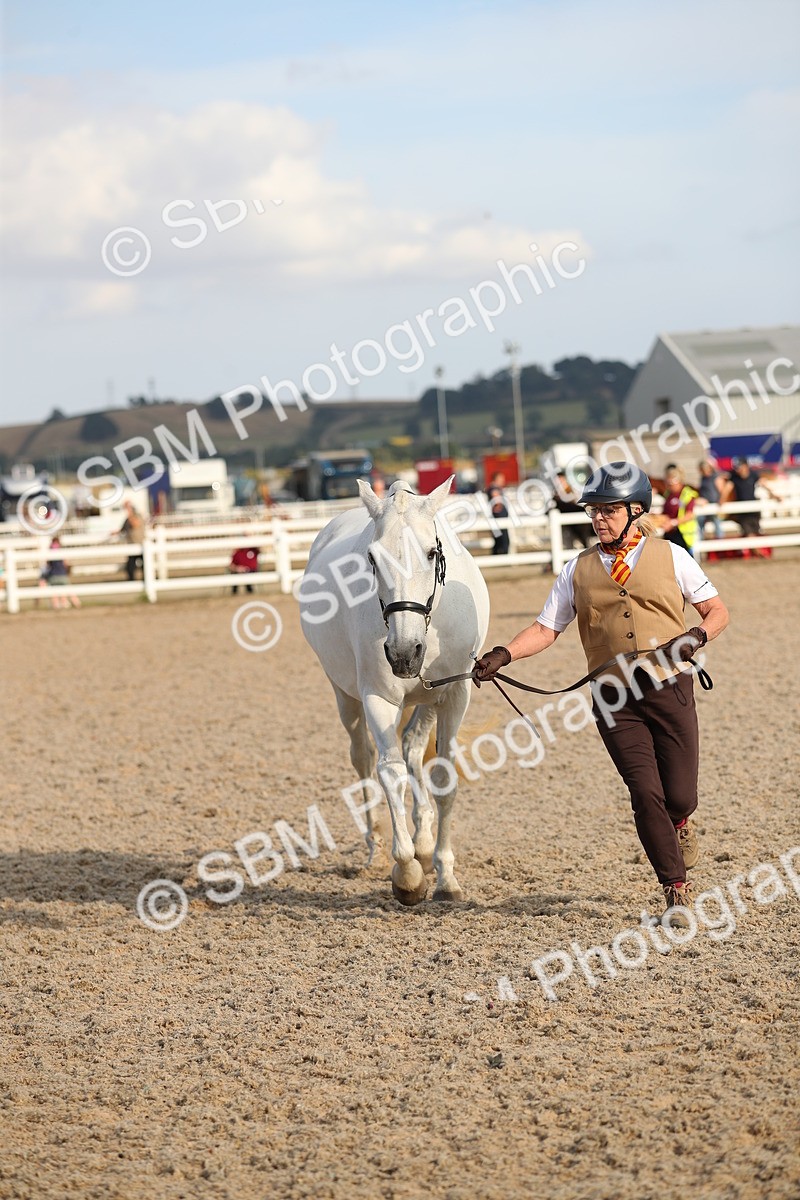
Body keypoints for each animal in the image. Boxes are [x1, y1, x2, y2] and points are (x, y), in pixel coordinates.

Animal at [299, 477, 490, 906]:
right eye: (372, 557)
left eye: (432, 551)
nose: (403, 653)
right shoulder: (378, 699)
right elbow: (390, 772)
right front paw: (407, 875)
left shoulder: (454, 695)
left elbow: (444, 776)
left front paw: (445, 876)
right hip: (345, 696)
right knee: (365, 758)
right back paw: (374, 848)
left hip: (427, 701)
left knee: (414, 747)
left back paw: (424, 842)